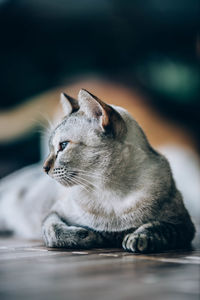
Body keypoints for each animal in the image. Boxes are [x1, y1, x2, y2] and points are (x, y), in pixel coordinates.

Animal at [0, 89, 195, 253]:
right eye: (51, 148)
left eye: (63, 146)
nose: (44, 168)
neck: (111, 191)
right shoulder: (53, 213)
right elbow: (54, 232)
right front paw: (92, 236)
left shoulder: (182, 224)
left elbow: (157, 227)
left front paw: (137, 239)